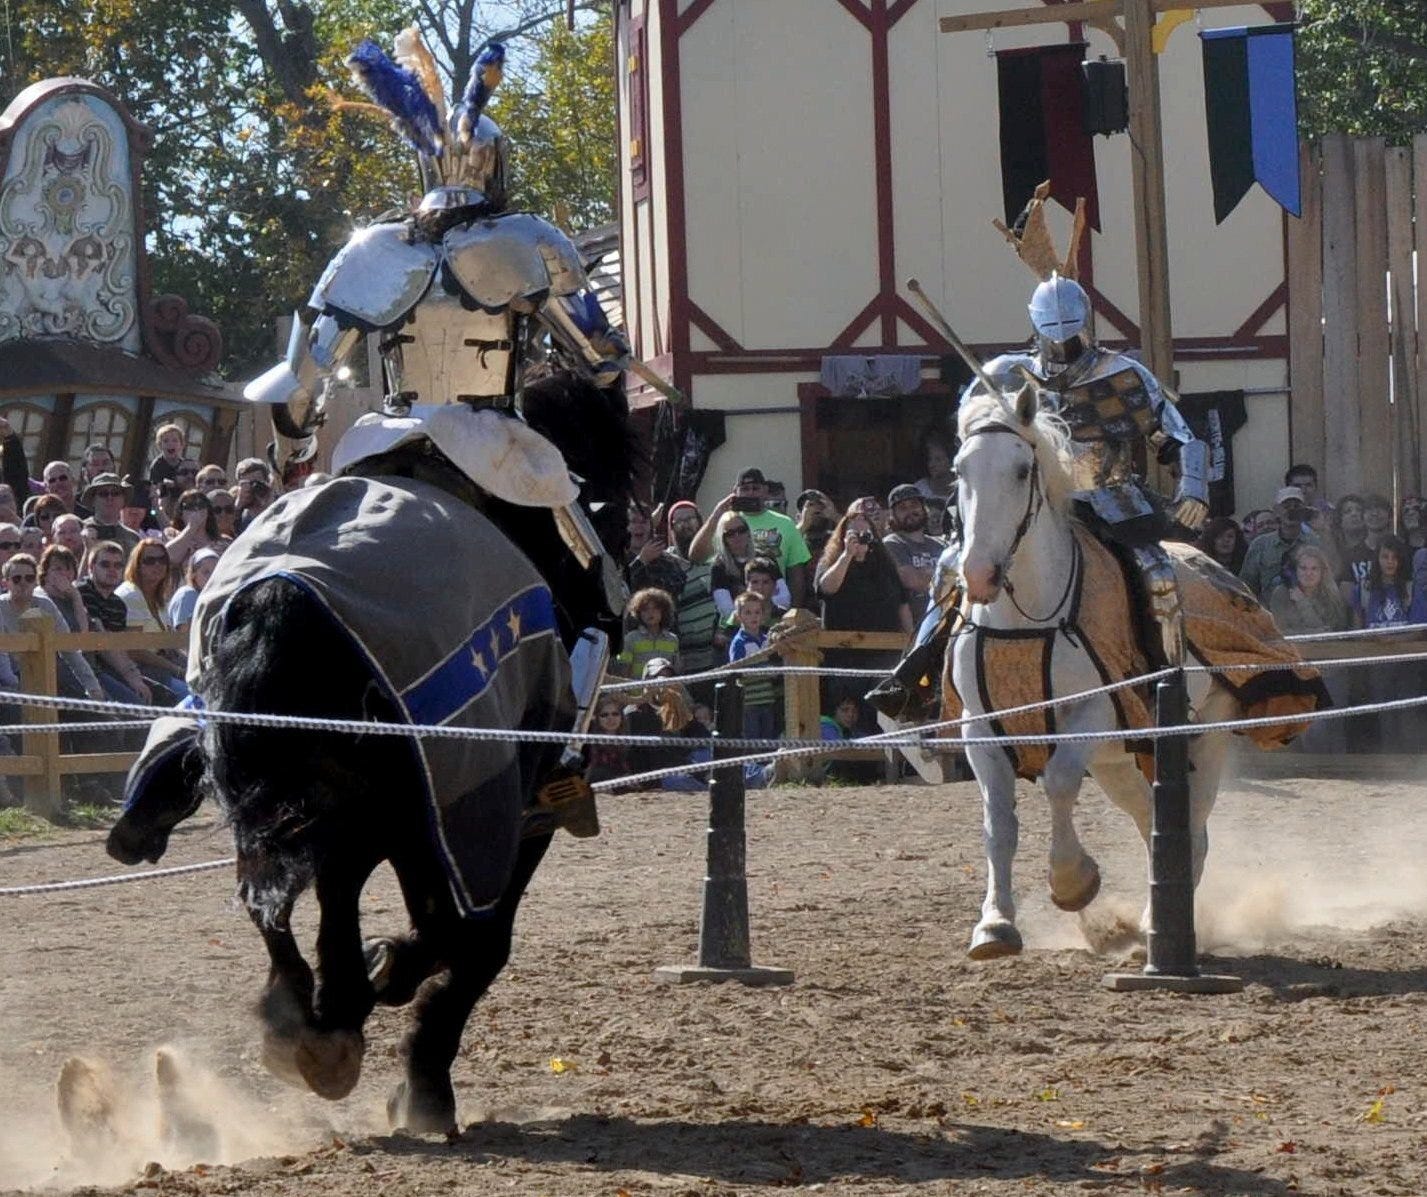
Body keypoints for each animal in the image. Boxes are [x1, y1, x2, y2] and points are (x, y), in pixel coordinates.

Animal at [114, 373, 639, 1135]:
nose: (619, 589)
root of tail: (280, 604)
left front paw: (365, 989)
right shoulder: (493, 817)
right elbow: (474, 938)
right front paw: (418, 1069)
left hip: (296, 798)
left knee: (269, 895)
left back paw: (305, 1017)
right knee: (370, 910)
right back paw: (336, 1018)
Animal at [953, 385, 1244, 964]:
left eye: (1022, 469)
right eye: (959, 470)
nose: (978, 574)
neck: (1025, 617)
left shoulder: (1094, 714)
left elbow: (1060, 783)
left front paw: (1073, 882)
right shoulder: (981, 728)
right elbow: (999, 825)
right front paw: (995, 925)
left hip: (1205, 736)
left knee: (1191, 830)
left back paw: (1159, 925)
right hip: (1118, 762)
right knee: (1150, 819)